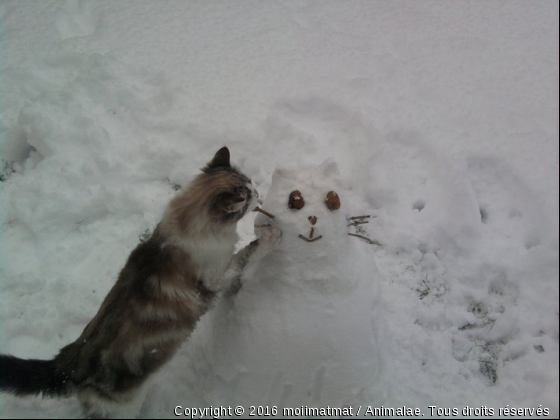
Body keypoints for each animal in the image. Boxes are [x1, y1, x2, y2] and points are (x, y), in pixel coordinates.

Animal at [0, 147, 280, 416]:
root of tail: (70, 360)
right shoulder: (215, 279)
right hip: (122, 409)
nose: (258, 193)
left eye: (251, 183)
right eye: (248, 196)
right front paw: (270, 234)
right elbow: (247, 253)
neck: (189, 226)